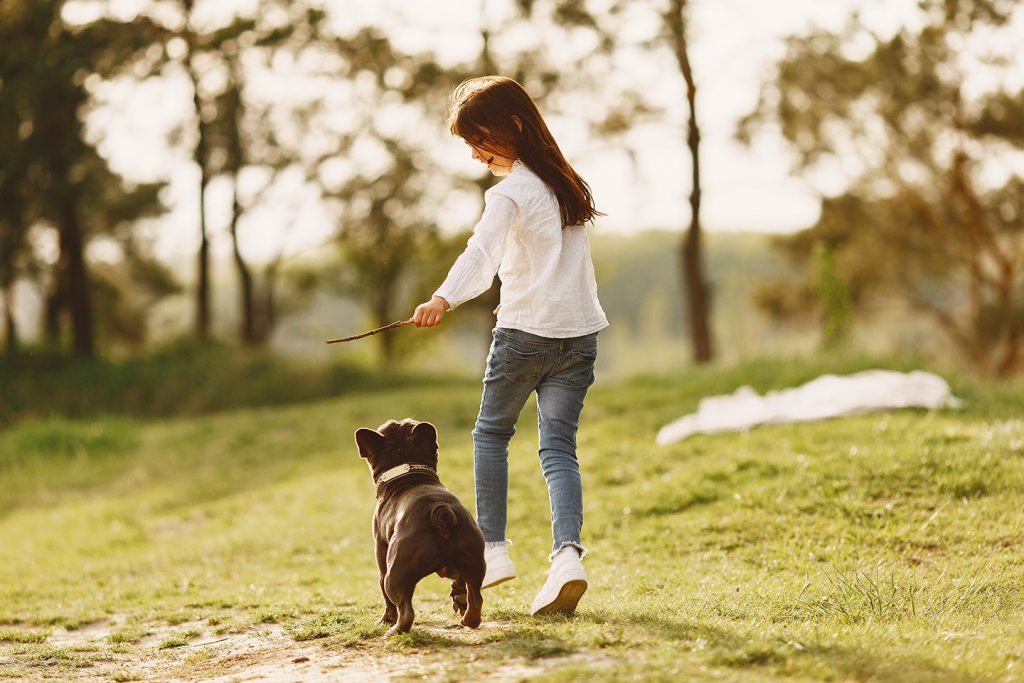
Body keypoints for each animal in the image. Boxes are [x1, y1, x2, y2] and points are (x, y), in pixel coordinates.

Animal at [354, 419, 485, 638]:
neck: (409, 476)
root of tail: (440, 512)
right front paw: (458, 597)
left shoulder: (381, 556)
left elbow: (386, 599)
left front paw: (385, 620)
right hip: (474, 562)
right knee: (476, 597)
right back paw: (468, 620)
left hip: (394, 576)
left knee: (405, 610)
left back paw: (394, 631)